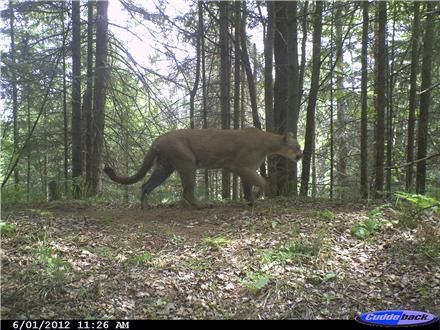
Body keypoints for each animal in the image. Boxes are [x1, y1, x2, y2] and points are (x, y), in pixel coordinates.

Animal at [103, 127, 302, 208]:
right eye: (297, 147)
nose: (300, 155)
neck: (268, 143)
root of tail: (158, 139)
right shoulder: (241, 166)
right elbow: (262, 181)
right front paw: (260, 195)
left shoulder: (246, 170)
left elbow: (249, 186)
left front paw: (251, 201)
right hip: (188, 163)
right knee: (187, 191)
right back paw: (203, 206)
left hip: (165, 167)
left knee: (146, 185)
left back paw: (145, 206)